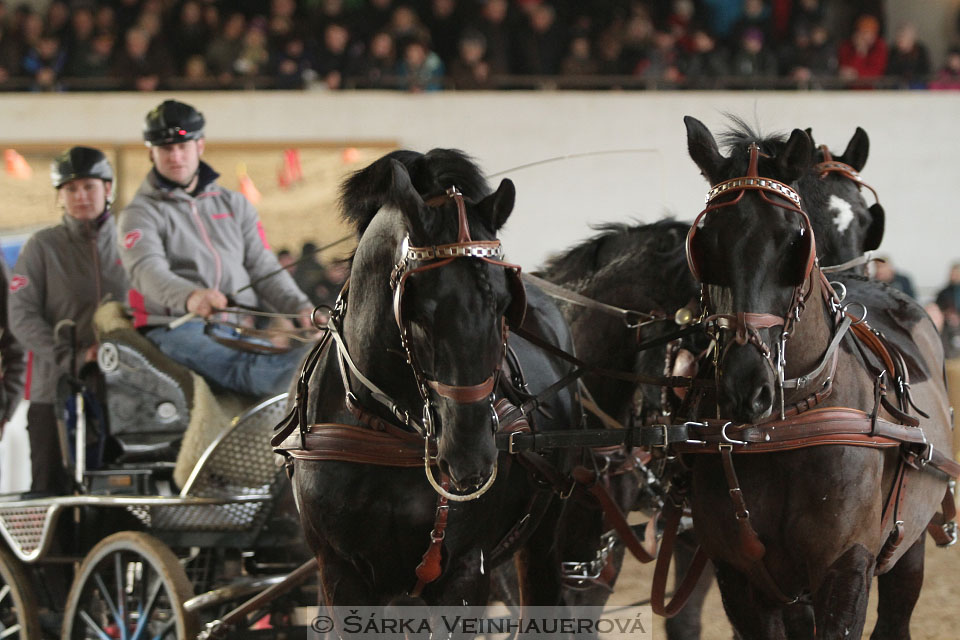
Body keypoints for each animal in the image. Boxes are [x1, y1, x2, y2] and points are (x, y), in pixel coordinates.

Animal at [284, 150, 584, 616]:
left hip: (543, 531)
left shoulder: (464, 570)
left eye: (504, 305)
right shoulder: (340, 573)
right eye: (418, 310)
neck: (389, 433)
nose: (469, 456)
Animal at [680, 116, 956, 640]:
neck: (784, 428)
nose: (747, 390)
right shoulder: (739, 577)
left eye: (794, 240)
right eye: (704, 243)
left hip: (908, 547)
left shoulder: (845, 565)